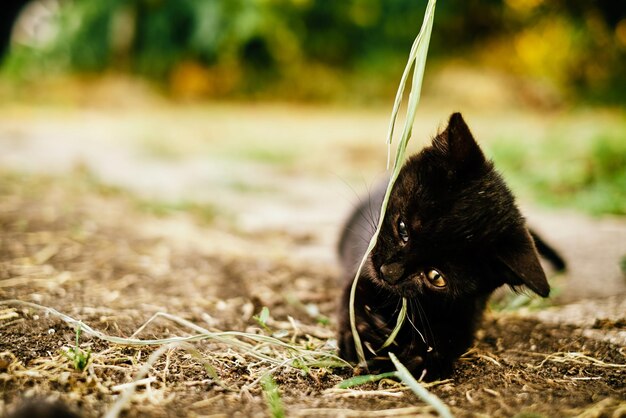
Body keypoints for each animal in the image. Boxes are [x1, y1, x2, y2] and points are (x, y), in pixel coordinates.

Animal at [336, 112, 560, 380]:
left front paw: (423, 358)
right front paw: (362, 332)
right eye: (403, 229)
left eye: (436, 276)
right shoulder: (363, 266)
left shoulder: (469, 309)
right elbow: (352, 295)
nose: (388, 272)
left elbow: (455, 334)